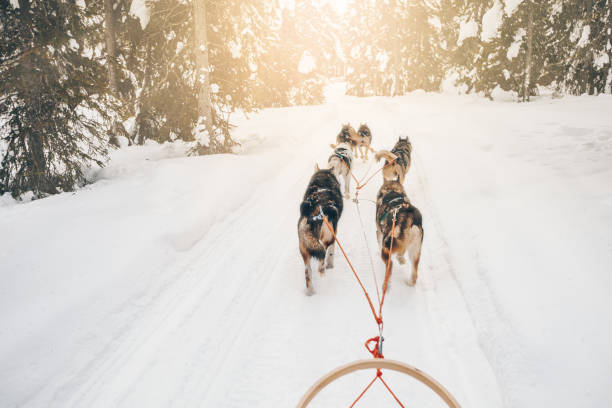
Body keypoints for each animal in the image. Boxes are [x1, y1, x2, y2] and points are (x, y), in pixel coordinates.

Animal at [298, 164, 344, 294]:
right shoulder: (333, 235)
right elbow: (331, 254)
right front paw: (331, 265)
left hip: (305, 249)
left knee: (307, 272)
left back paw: (310, 292)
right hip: (327, 239)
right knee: (322, 258)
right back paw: (323, 269)